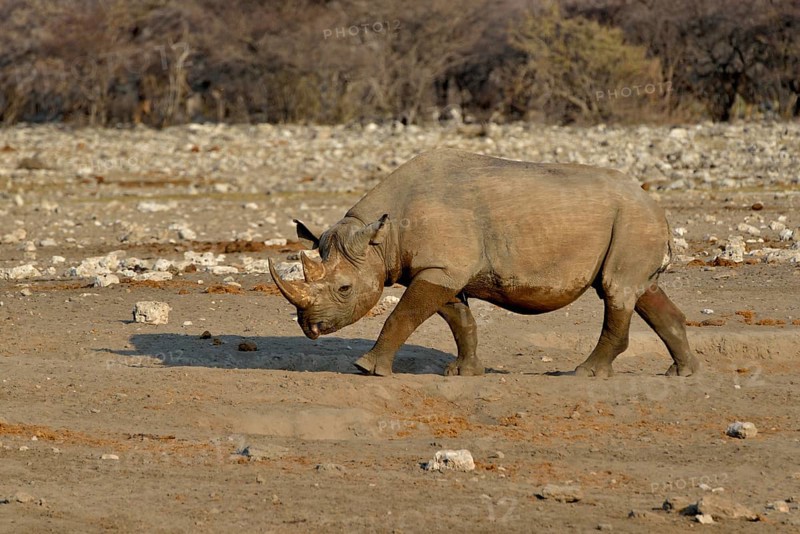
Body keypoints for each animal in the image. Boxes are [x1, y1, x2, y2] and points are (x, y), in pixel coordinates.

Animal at [269, 149, 700, 378]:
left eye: (344, 289)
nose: (309, 328)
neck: (380, 239)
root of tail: (655, 204)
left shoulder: (441, 268)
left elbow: (402, 315)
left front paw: (366, 369)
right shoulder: (443, 270)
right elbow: (460, 320)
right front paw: (464, 373)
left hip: (633, 219)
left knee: (616, 290)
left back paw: (584, 374)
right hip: (632, 222)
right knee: (640, 290)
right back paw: (683, 373)